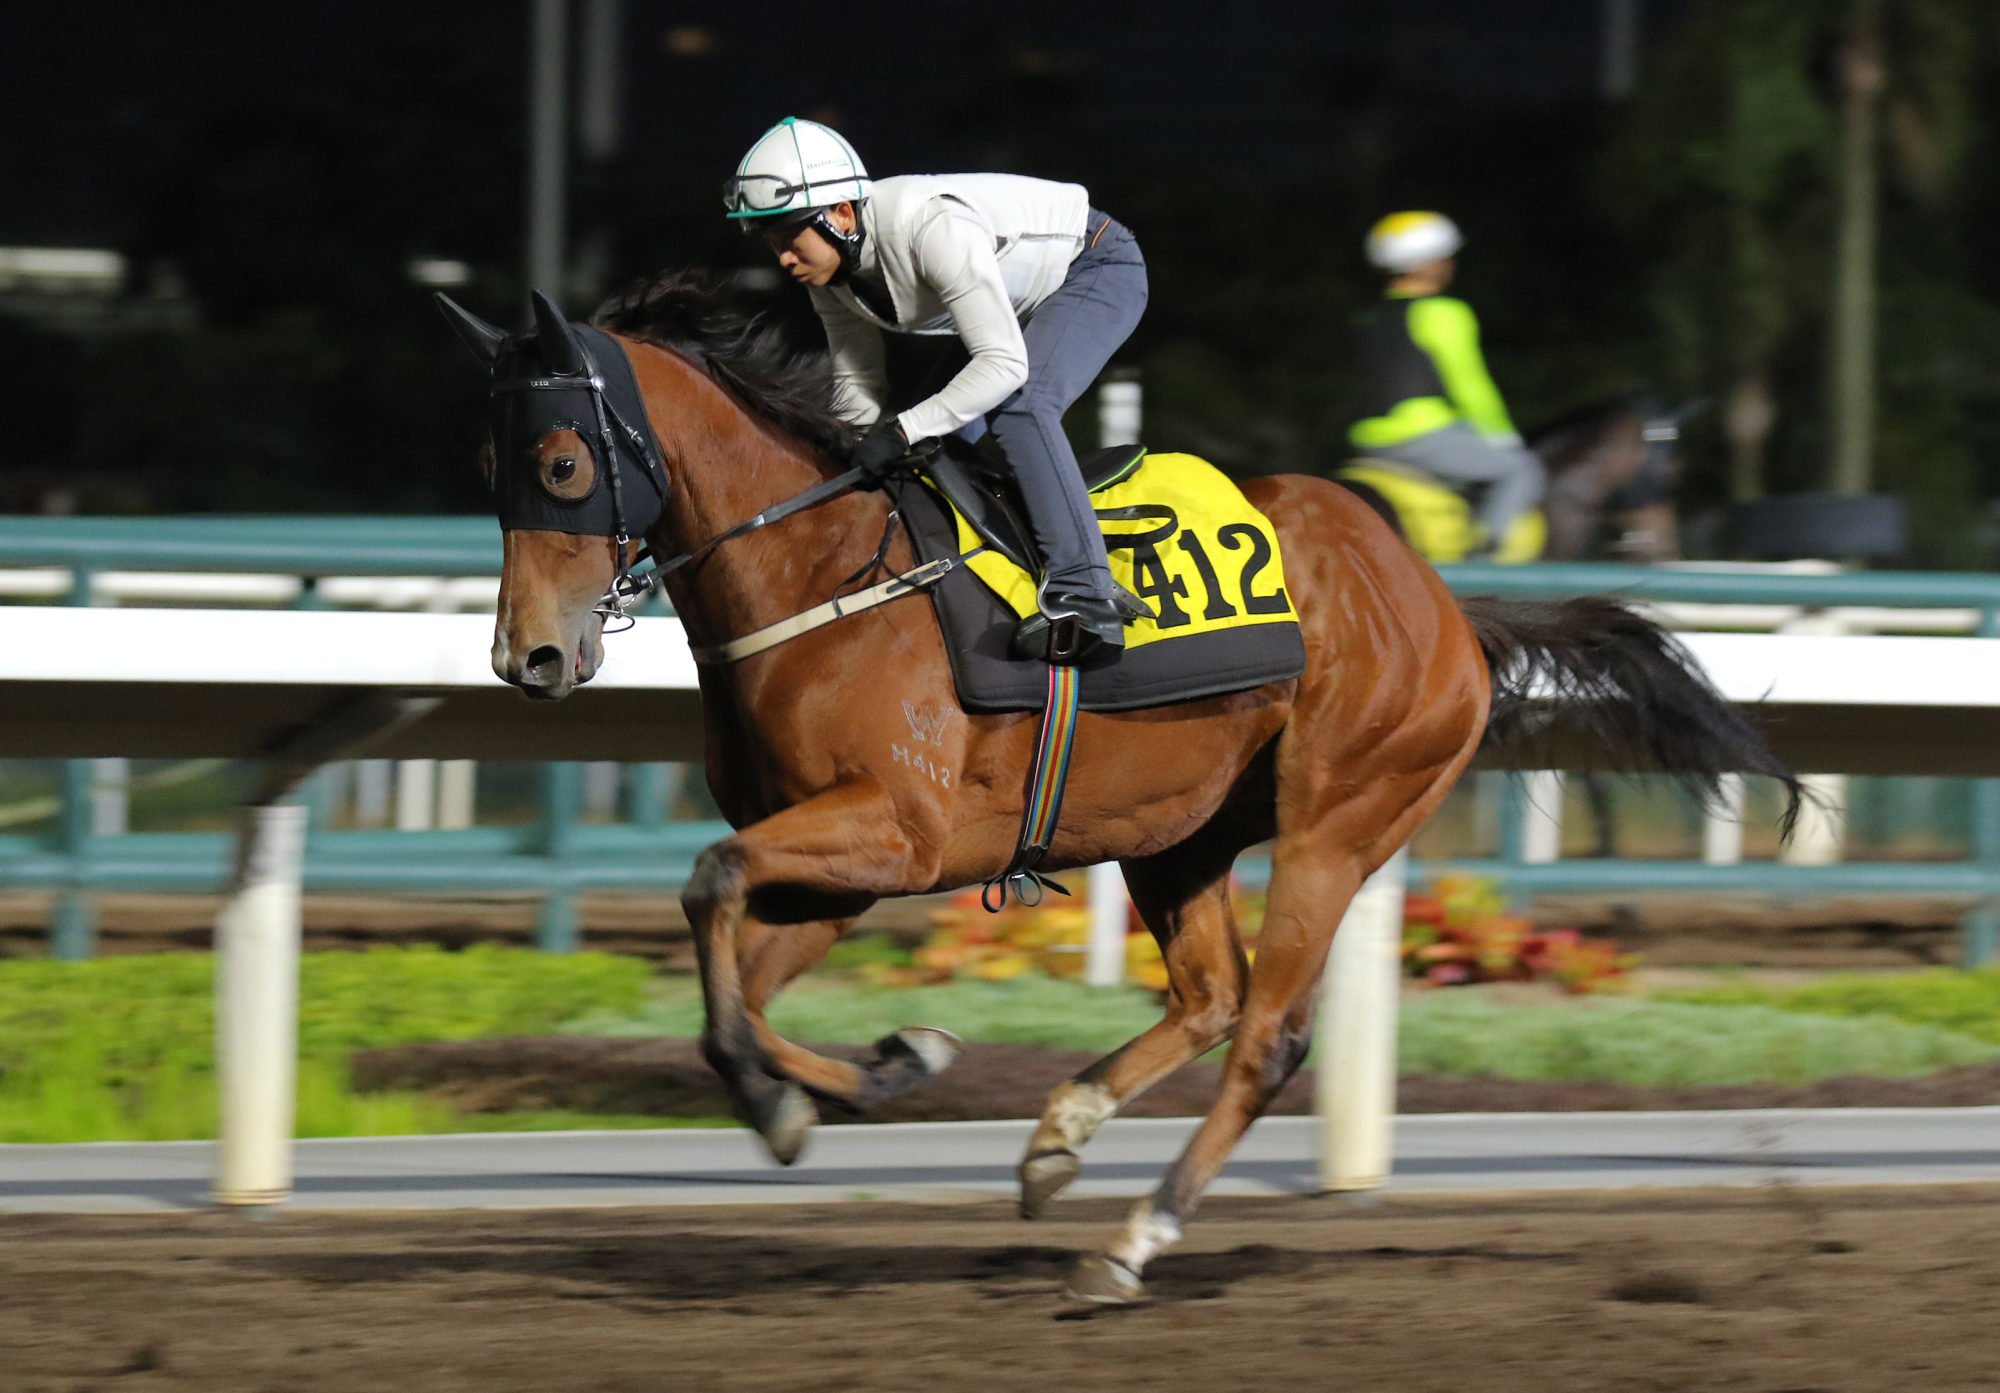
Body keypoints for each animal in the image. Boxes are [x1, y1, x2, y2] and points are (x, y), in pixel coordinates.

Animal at [438, 274, 1800, 1304]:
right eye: (490, 461)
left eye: (561, 463)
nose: (530, 658)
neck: (823, 575)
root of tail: (1440, 605)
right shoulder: (839, 859)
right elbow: (738, 976)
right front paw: (873, 1071)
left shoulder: (895, 835)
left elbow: (709, 886)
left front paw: (818, 1090)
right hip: (1175, 832)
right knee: (1209, 998)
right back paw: (1059, 1139)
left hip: (1341, 816)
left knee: (1267, 1032)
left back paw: (1130, 1241)